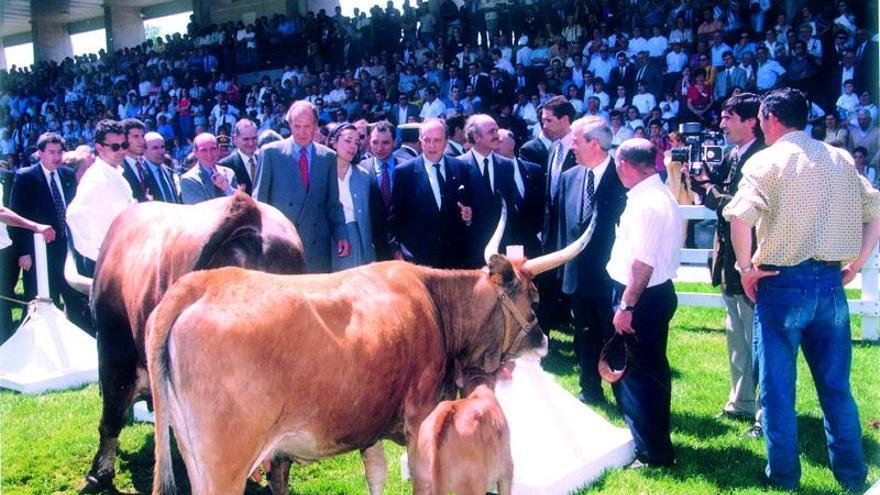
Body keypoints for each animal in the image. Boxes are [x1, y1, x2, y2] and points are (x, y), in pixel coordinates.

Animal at [148, 213, 596, 495]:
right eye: (535, 298)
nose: (544, 341)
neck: (435, 303)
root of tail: (201, 285)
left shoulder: (371, 426)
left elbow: (376, 474)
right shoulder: (419, 419)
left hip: (191, 453)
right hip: (225, 464)